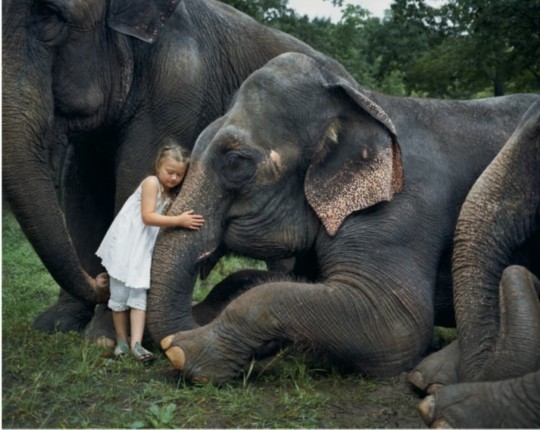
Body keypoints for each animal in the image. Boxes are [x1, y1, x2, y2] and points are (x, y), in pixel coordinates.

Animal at [3, 0, 316, 338]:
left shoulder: (179, 87)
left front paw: (103, 336)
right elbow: (81, 189)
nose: (101, 280)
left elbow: (134, 177)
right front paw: (56, 325)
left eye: (51, 15)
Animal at [144, 51, 540, 382]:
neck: (365, 100)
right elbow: (269, 280)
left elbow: (397, 323)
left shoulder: (399, 210)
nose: (169, 339)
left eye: (235, 162)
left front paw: (184, 350)